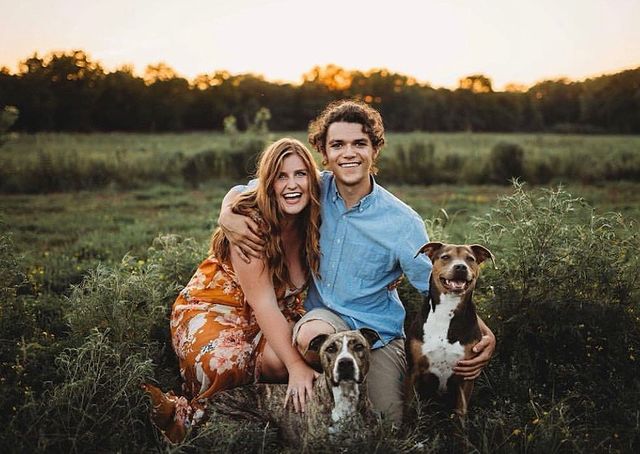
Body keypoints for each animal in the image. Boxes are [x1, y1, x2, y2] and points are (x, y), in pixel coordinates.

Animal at [408, 243, 492, 416]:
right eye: (445, 257)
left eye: (470, 259)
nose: (460, 267)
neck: (446, 310)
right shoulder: (414, 372)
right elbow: (409, 409)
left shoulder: (466, 376)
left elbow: (460, 413)